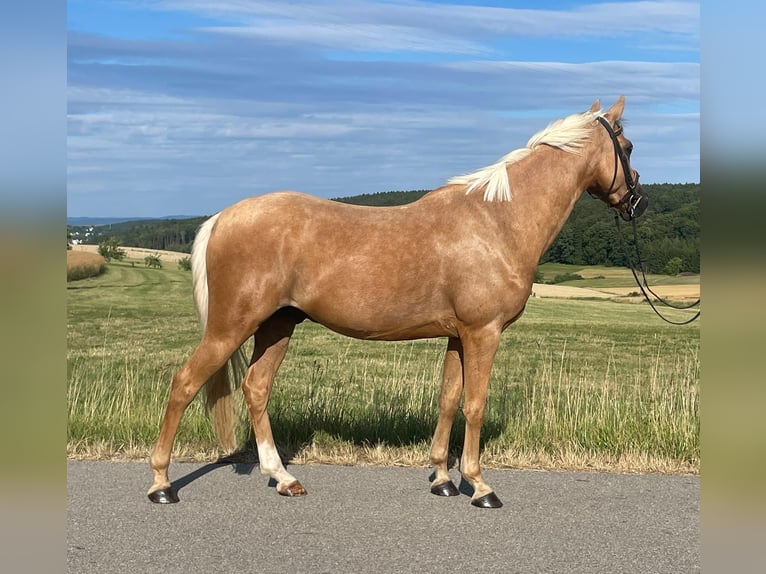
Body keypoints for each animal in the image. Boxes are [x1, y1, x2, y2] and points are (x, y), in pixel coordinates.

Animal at [148, 96, 647, 508]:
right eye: (628, 146)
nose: (636, 201)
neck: (498, 220)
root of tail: (222, 216)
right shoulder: (482, 333)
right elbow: (475, 404)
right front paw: (479, 486)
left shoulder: (458, 336)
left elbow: (448, 399)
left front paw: (442, 479)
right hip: (230, 326)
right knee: (184, 384)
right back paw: (161, 484)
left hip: (277, 325)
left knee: (256, 388)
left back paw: (283, 477)